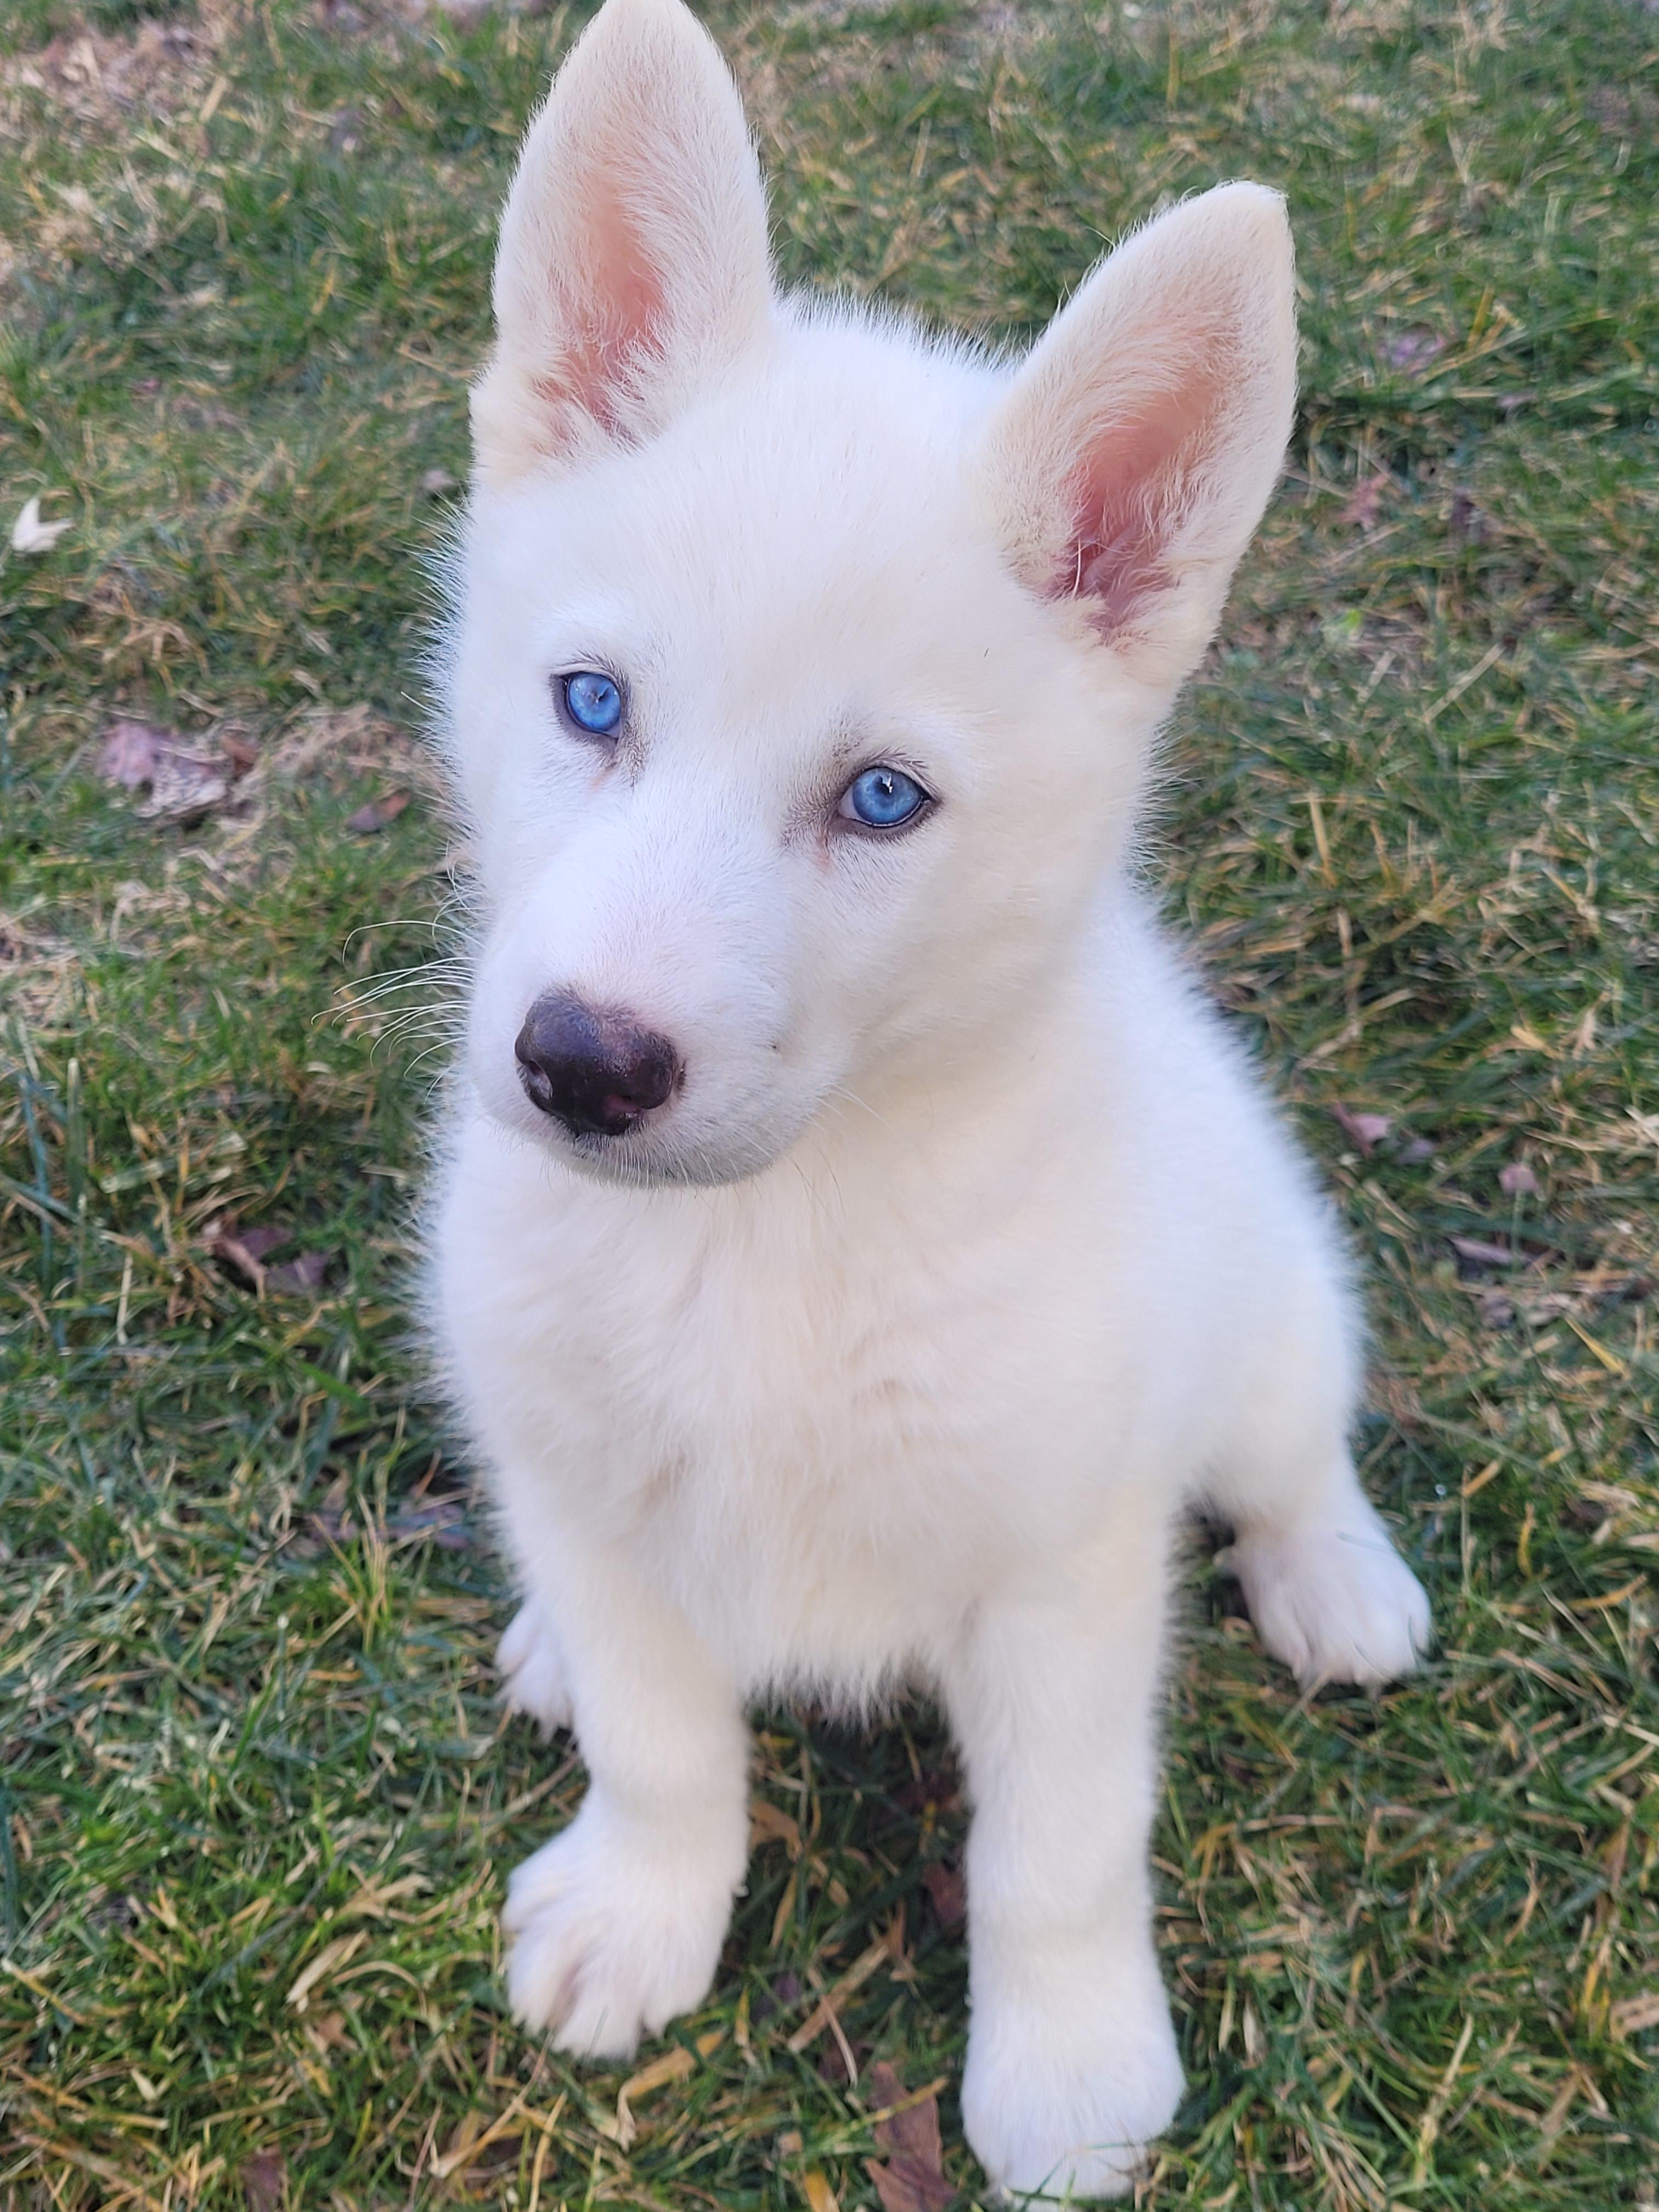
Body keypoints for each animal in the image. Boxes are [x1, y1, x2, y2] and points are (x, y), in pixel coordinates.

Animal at [425, 0, 1433, 2176]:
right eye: (590, 704)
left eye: (880, 801)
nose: (579, 1063)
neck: (769, 1237)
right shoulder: (586, 1467)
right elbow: (664, 1744)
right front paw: (639, 1903)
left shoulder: (1063, 1564)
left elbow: (1062, 1845)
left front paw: (1066, 2070)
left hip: (1259, 1291)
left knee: (1290, 1438)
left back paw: (1333, 1574)